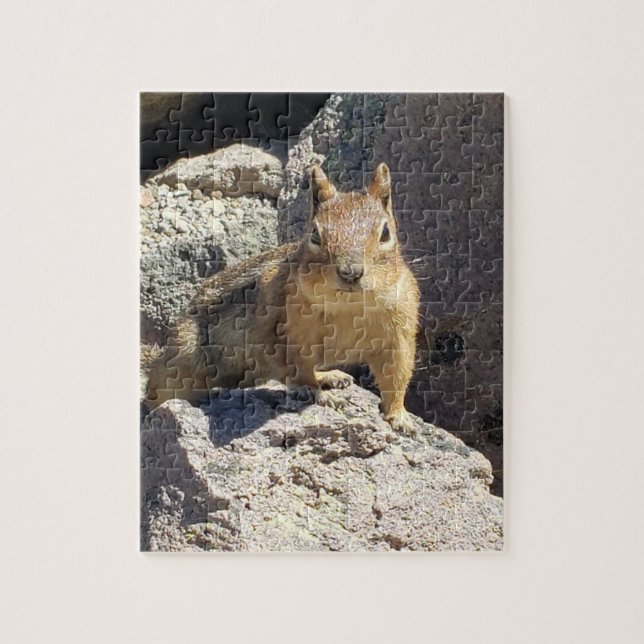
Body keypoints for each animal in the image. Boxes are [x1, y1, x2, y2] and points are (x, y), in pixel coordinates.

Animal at [145, 163, 420, 433]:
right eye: (315, 234)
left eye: (385, 233)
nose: (350, 272)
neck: (349, 307)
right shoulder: (284, 336)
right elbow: (298, 372)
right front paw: (320, 395)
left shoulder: (399, 335)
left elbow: (396, 376)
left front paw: (399, 416)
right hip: (183, 359)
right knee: (157, 390)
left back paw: (330, 375)